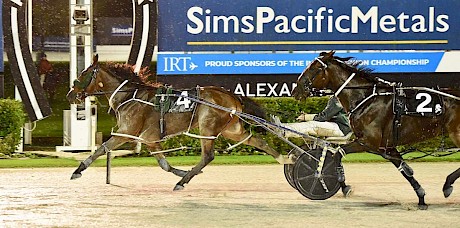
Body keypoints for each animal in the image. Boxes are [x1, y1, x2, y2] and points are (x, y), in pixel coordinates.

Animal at [66, 54, 290, 191]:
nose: (70, 95)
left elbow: (101, 148)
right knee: (257, 141)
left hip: (207, 127)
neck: (130, 96)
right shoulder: (150, 140)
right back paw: (286, 159)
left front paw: (78, 170)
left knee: (208, 156)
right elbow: (164, 164)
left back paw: (183, 182)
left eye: (83, 74)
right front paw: (181, 171)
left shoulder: (127, 132)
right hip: (231, 129)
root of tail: (233, 96)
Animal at [292, 50, 460, 209]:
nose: (296, 90)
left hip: (456, 134)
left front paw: (344, 187)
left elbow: (337, 155)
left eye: (315, 67)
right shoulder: (387, 146)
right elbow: (404, 170)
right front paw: (421, 197)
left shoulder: (368, 141)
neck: (365, 99)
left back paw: (447, 185)